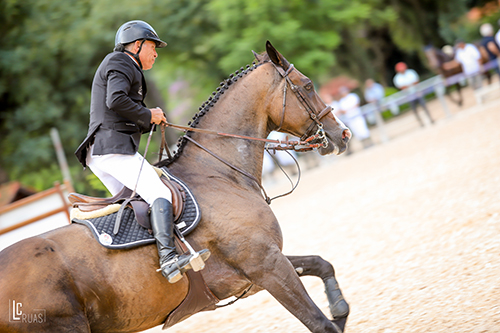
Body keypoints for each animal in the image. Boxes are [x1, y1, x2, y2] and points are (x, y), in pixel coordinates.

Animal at [0, 42, 352, 332]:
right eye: (308, 85)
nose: (343, 134)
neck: (219, 173)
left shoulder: (260, 269)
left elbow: (322, 264)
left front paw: (339, 308)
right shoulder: (267, 266)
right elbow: (319, 324)